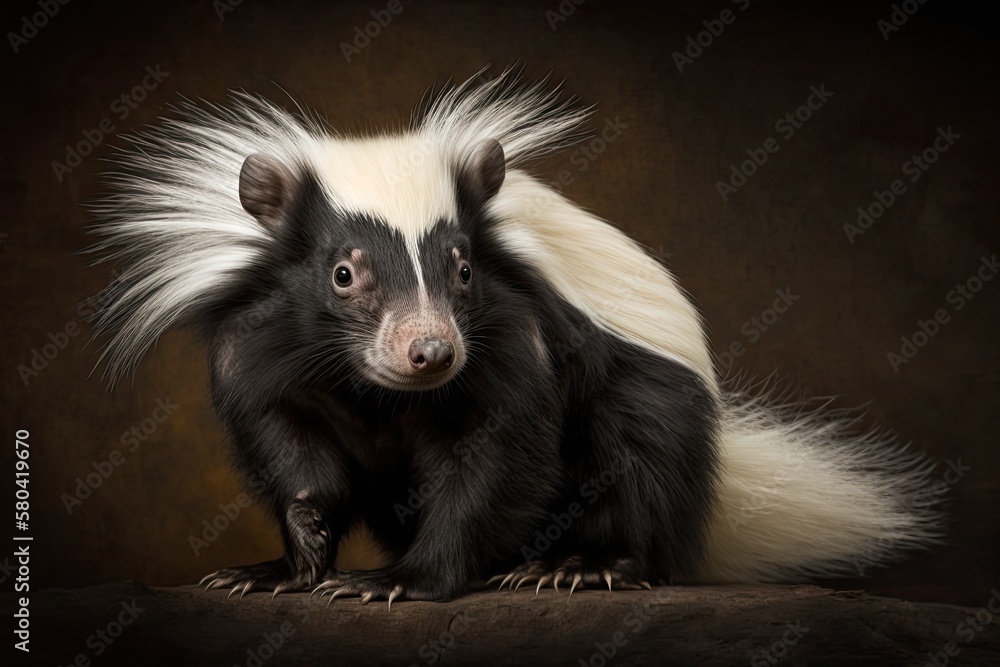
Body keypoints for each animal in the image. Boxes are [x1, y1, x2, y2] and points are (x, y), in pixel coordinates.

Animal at [88, 70, 944, 604]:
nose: (432, 351)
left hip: (649, 409)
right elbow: (297, 461)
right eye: (343, 273)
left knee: (636, 468)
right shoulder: (263, 348)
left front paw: (397, 580)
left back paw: (580, 566)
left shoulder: (516, 341)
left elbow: (494, 466)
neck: (378, 388)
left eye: (464, 268)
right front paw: (283, 566)